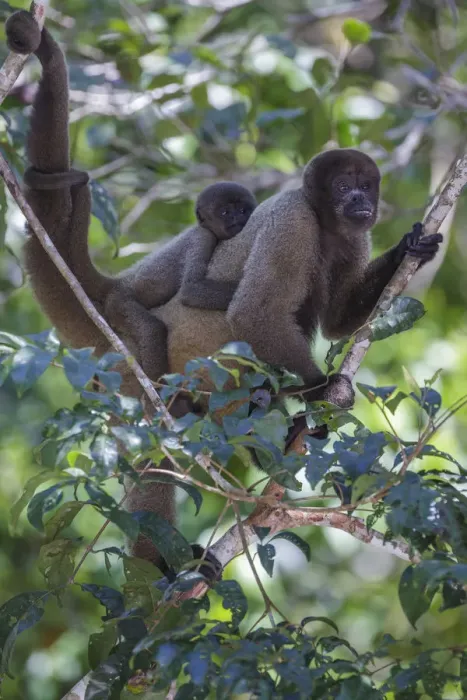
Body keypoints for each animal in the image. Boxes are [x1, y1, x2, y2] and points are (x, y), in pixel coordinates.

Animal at [6, 11, 443, 571]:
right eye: (344, 187)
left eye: (365, 185)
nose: (359, 201)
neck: (326, 225)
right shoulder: (291, 222)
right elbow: (253, 314)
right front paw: (322, 388)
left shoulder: (354, 236)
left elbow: (340, 321)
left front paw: (413, 245)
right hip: (131, 365)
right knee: (157, 449)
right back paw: (161, 566)